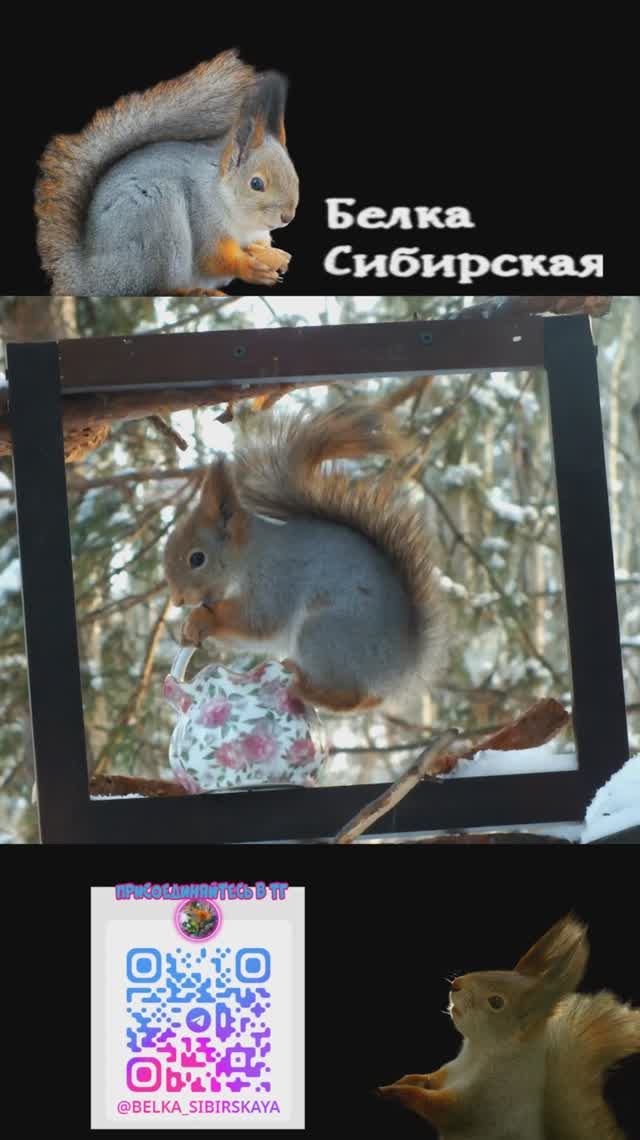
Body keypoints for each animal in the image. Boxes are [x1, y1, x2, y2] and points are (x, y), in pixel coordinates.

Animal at [35, 49, 299, 296]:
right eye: (256, 184)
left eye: (295, 178)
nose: (287, 217)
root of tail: (89, 275)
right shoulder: (204, 218)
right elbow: (212, 258)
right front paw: (251, 269)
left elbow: (257, 246)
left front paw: (273, 254)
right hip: (158, 220)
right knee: (159, 287)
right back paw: (195, 291)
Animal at [163, 402, 443, 713]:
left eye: (197, 559)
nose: (177, 600)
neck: (249, 554)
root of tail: (404, 666)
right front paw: (190, 626)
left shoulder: (275, 581)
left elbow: (257, 621)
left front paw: (201, 619)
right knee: (368, 699)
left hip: (321, 634)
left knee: (353, 696)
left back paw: (305, 689)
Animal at [378, 914, 640, 1140]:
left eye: (496, 1002)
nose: (455, 984)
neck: (478, 1051)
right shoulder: (452, 1070)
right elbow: (432, 1078)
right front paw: (406, 1079)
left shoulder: (484, 1100)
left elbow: (442, 1108)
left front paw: (397, 1092)